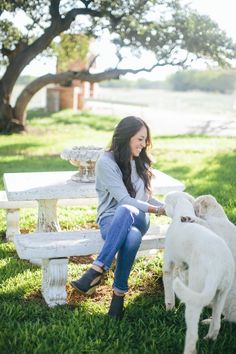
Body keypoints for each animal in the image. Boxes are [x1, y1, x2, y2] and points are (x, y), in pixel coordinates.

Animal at [163, 192, 233, 354]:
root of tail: (217, 266)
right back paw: (209, 335)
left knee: (192, 336)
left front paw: (169, 309)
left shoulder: (168, 264)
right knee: (217, 323)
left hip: (196, 298)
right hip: (221, 294)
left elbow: (168, 291)